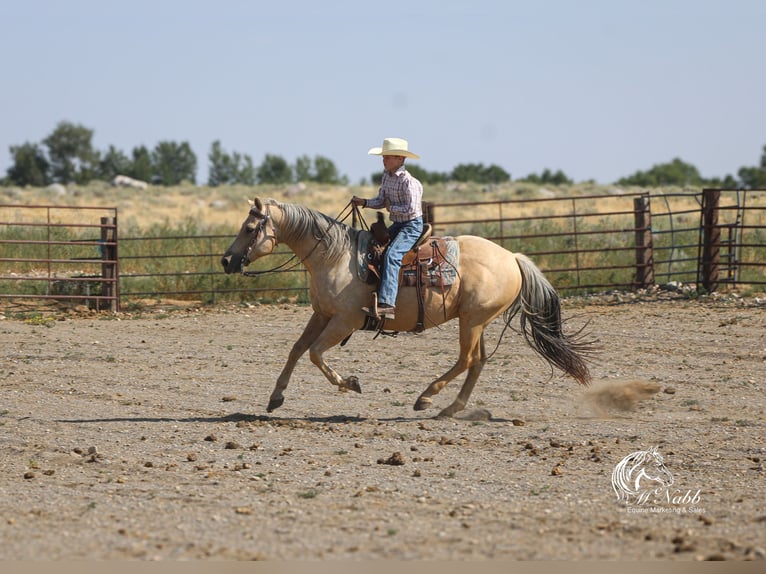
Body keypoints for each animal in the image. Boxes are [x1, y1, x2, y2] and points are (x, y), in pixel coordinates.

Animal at [221, 197, 594, 418]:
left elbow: (314, 353)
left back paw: (427, 397)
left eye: (250, 228)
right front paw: (275, 397)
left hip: (472, 321)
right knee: (478, 361)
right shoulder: (322, 313)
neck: (335, 257)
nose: (226, 261)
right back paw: (451, 408)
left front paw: (350, 383)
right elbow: (297, 350)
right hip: (477, 320)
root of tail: (512, 258)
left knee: (466, 359)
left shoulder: (345, 321)